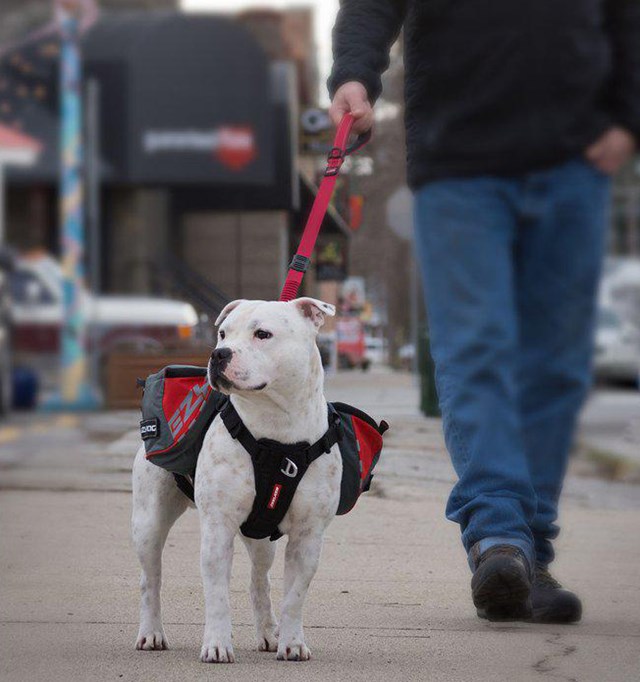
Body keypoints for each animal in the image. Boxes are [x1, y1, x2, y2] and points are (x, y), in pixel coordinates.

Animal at [132, 296, 342, 660]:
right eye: (222, 333)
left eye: (263, 334)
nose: (219, 353)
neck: (277, 427)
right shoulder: (218, 528)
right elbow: (217, 595)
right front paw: (217, 644)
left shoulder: (308, 536)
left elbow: (294, 597)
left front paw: (292, 642)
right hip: (148, 524)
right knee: (151, 580)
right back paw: (151, 633)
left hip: (262, 540)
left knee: (260, 580)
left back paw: (269, 634)